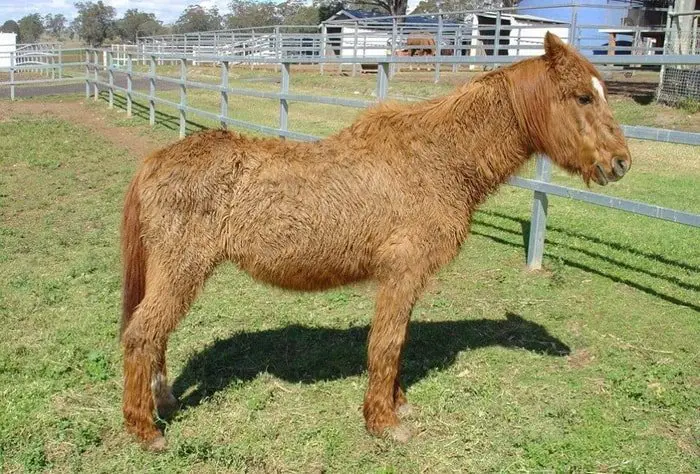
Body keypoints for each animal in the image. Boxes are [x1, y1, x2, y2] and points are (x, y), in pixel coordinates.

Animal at [120, 33, 631, 451]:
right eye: (583, 96)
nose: (621, 162)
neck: (436, 158)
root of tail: (155, 161)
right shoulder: (402, 274)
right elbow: (386, 343)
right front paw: (383, 422)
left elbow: (397, 343)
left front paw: (397, 403)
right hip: (182, 270)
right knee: (141, 335)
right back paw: (145, 431)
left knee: (156, 336)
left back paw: (163, 402)